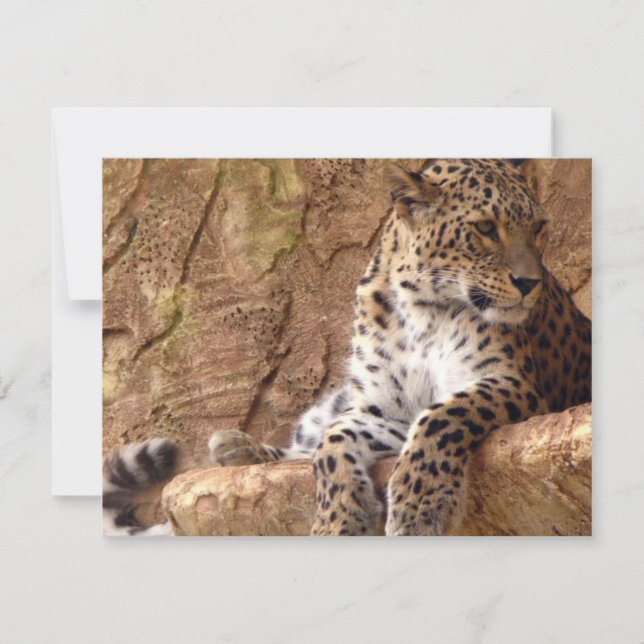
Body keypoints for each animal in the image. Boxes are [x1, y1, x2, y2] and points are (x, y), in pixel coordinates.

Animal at [103, 158, 591, 536]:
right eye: (486, 228)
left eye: (539, 228)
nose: (530, 284)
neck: (426, 310)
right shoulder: (384, 408)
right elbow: (333, 442)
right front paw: (338, 517)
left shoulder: (511, 382)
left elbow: (441, 416)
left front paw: (419, 506)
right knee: (305, 442)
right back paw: (237, 448)